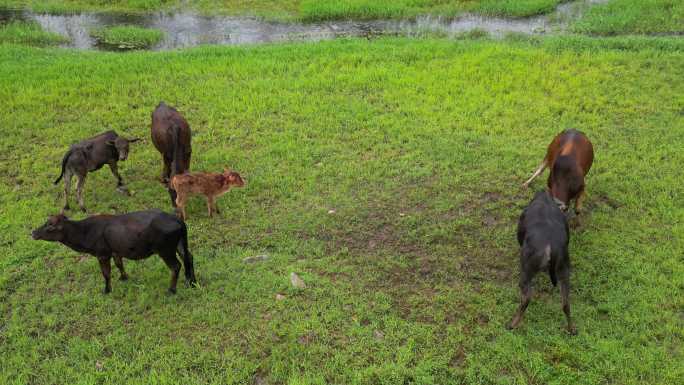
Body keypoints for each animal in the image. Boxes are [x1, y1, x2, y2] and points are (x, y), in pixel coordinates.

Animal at [32, 208, 198, 292]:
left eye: (50, 226)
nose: (33, 232)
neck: (85, 233)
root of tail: (179, 220)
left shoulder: (102, 253)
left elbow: (106, 273)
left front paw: (107, 290)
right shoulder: (115, 250)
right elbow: (119, 264)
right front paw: (124, 277)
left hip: (165, 249)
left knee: (176, 266)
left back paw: (171, 290)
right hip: (180, 243)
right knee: (189, 257)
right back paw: (191, 282)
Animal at [504, 191, 576, 332]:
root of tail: (552, 247)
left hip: (527, 271)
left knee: (526, 299)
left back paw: (512, 324)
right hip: (564, 271)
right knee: (566, 304)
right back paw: (571, 329)